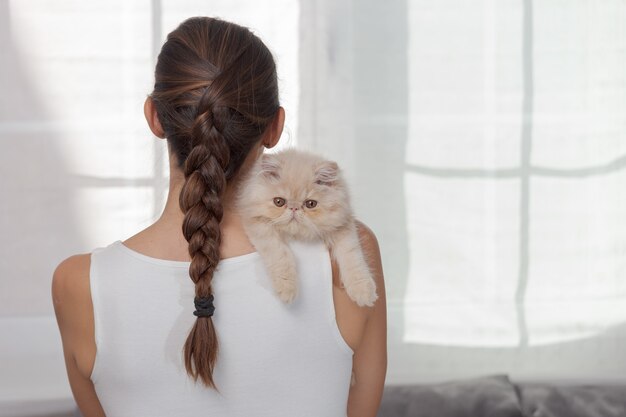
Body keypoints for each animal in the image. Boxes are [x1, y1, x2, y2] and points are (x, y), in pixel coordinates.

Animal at [234, 146, 378, 306]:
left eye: (310, 204)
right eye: (279, 202)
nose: (294, 208)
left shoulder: (344, 226)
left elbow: (353, 258)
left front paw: (364, 292)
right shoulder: (259, 224)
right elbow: (281, 255)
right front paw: (287, 289)